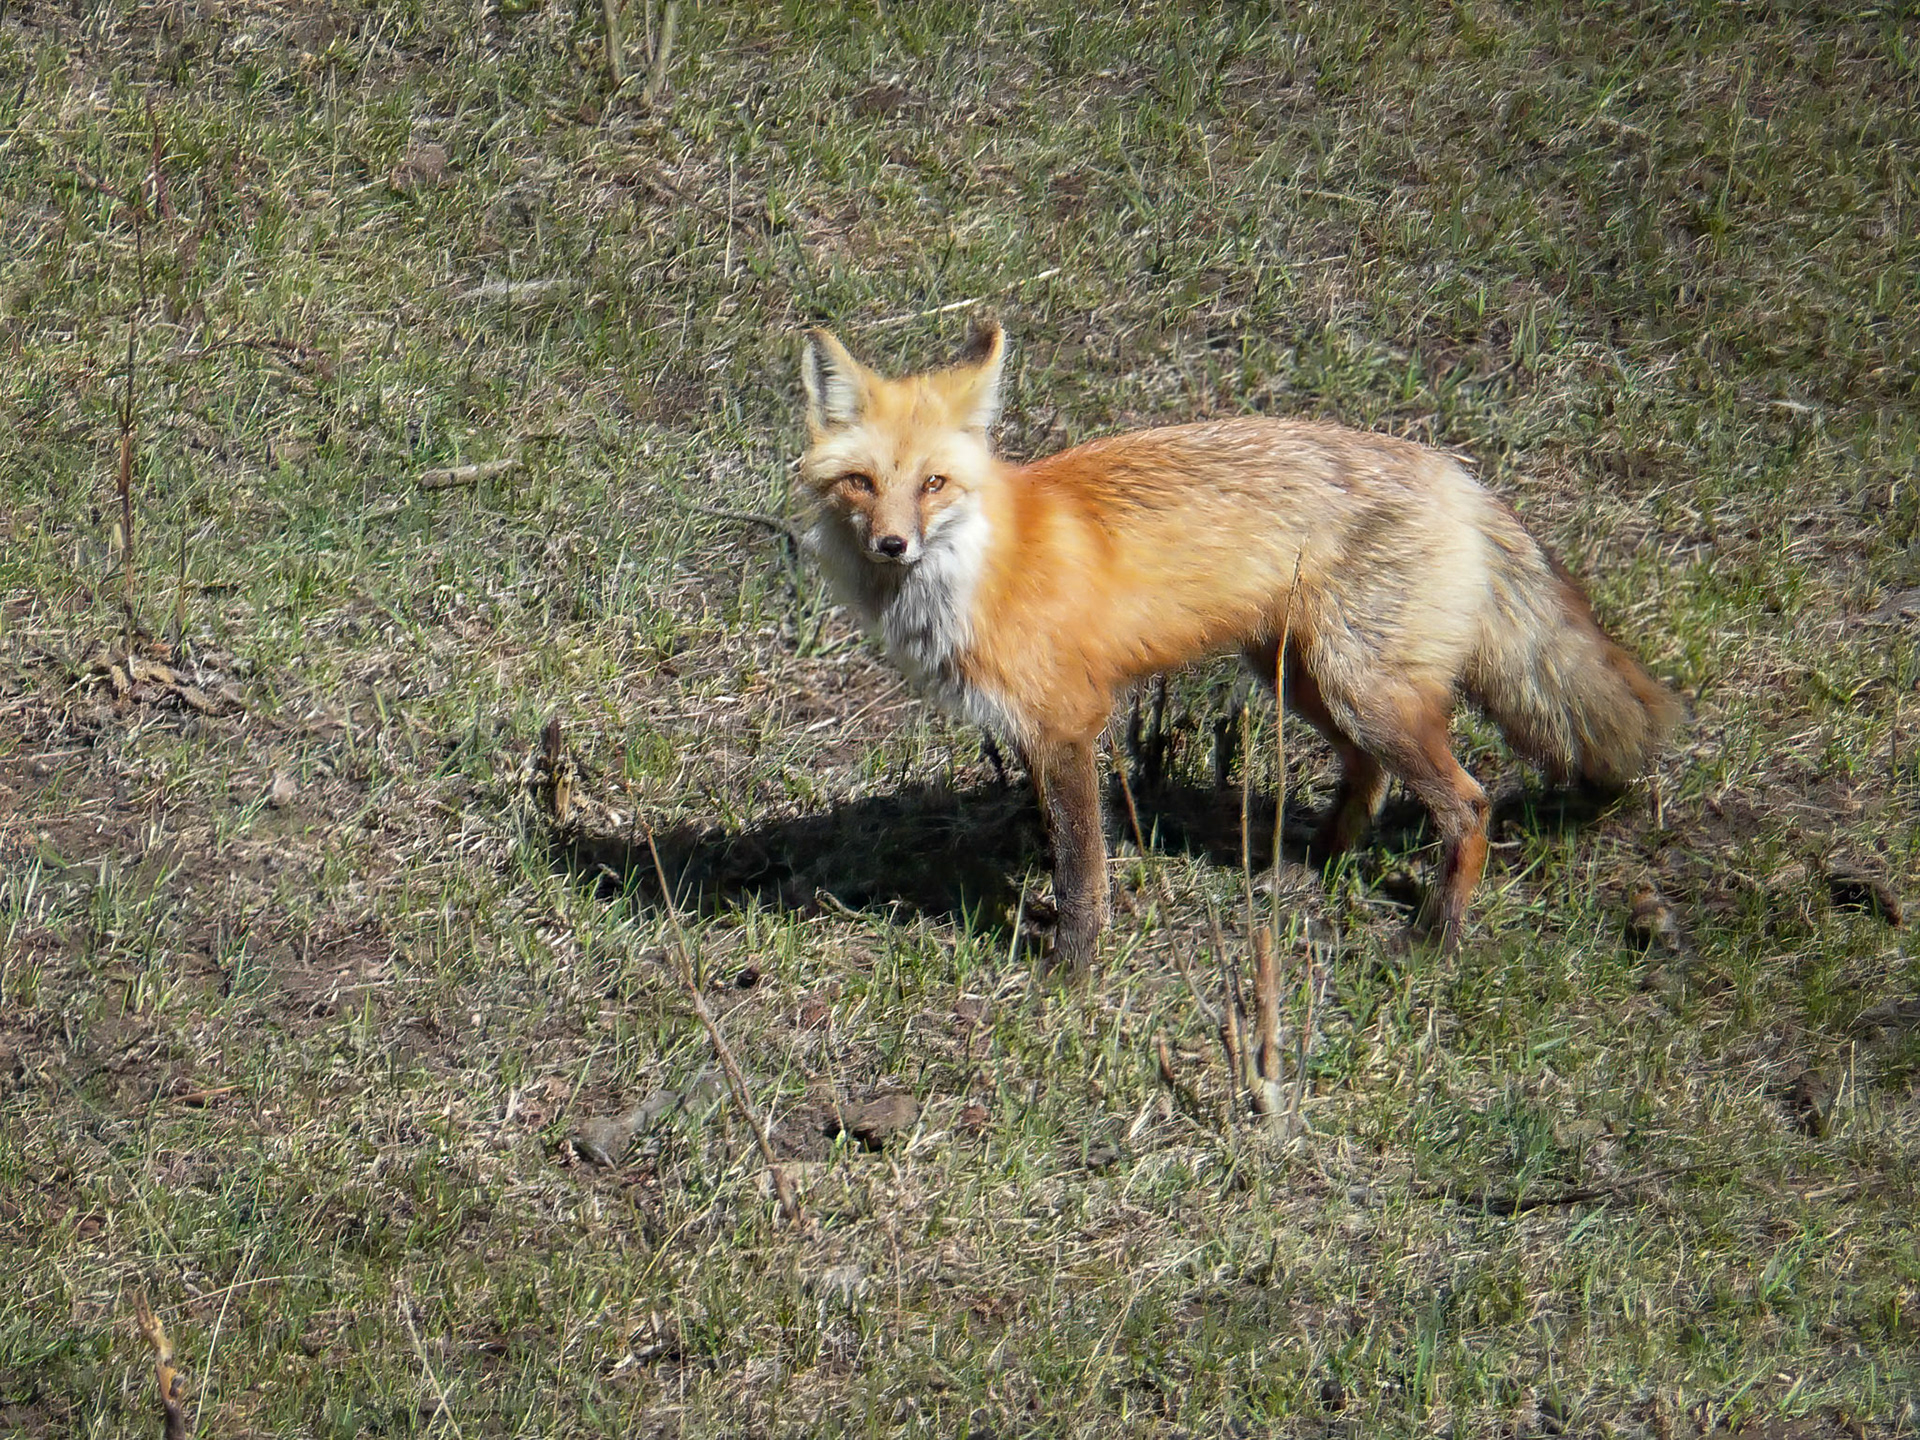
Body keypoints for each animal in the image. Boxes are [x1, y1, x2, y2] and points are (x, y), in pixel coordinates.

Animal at [797, 317, 1681, 977]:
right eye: (862, 484)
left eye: (933, 485)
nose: (892, 545)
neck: (978, 567)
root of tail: (1458, 475)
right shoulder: (1036, 733)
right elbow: (1063, 845)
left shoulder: (1067, 724)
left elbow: (1082, 866)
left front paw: (1072, 972)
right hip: (1305, 679)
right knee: (1365, 774)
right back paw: (1314, 863)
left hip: (1364, 692)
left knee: (1468, 805)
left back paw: (1431, 940)